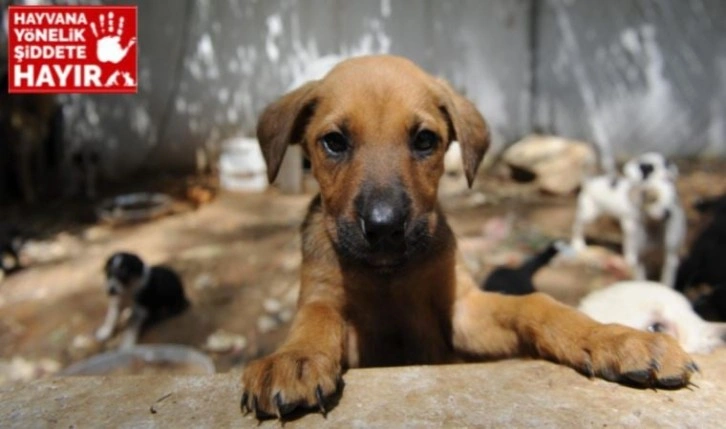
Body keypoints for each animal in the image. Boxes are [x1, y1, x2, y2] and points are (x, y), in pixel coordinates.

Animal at [572, 152, 684, 286]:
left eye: (667, 165)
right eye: (649, 169)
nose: (669, 176)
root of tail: (590, 182)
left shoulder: (670, 258)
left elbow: (667, 279)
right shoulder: (630, 227)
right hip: (589, 214)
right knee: (577, 226)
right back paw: (578, 243)